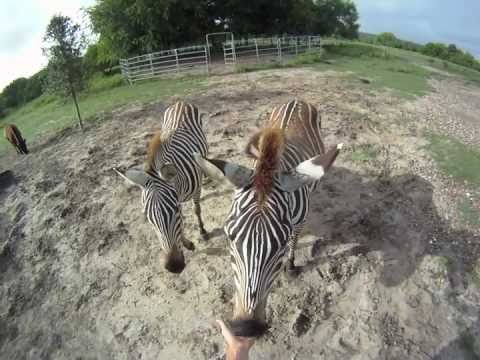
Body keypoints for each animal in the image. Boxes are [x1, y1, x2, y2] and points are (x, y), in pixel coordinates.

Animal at [116, 101, 208, 272]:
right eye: (147, 217)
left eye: (176, 210)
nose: (174, 267)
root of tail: (180, 102)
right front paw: (187, 243)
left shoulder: (196, 189)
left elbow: (196, 209)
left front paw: (202, 231)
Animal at [197, 100, 344, 336]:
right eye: (229, 236)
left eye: (281, 243)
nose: (246, 328)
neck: (269, 165)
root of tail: (297, 99)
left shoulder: (298, 222)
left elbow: (295, 241)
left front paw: (291, 266)